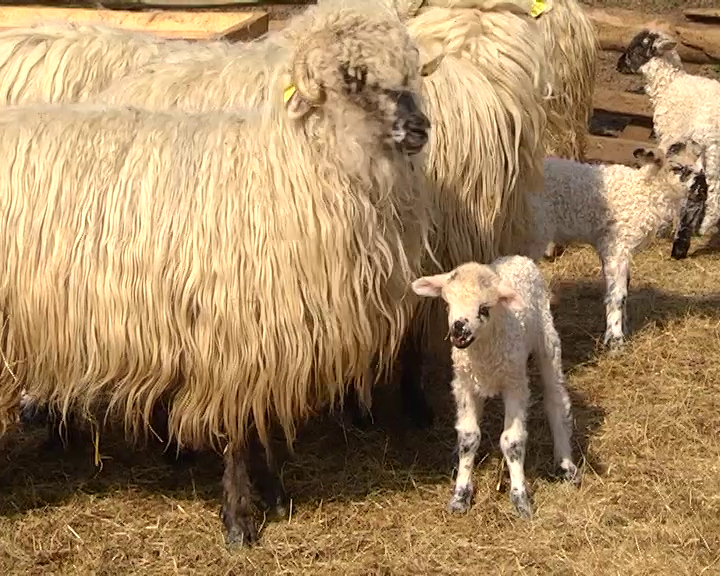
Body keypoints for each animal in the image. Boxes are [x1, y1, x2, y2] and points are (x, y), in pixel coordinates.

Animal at [411, 256, 580, 518]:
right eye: (448, 304)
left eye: (484, 308)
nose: (458, 329)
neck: (484, 347)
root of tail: (519, 258)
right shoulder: (464, 385)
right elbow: (469, 437)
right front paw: (460, 495)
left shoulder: (515, 384)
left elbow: (512, 441)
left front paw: (520, 499)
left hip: (547, 339)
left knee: (556, 400)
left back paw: (565, 463)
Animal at [526, 140, 707, 350]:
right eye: (678, 168)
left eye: (702, 169)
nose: (703, 192)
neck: (644, 192)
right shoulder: (617, 246)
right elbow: (617, 294)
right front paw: (615, 340)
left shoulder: (617, 248)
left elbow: (625, 289)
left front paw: (624, 328)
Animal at [616, 29, 720, 255]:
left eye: (635, 48)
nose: (618, 65)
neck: (669, 86)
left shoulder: (671, 135)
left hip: (715, 149)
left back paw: (705, 226)